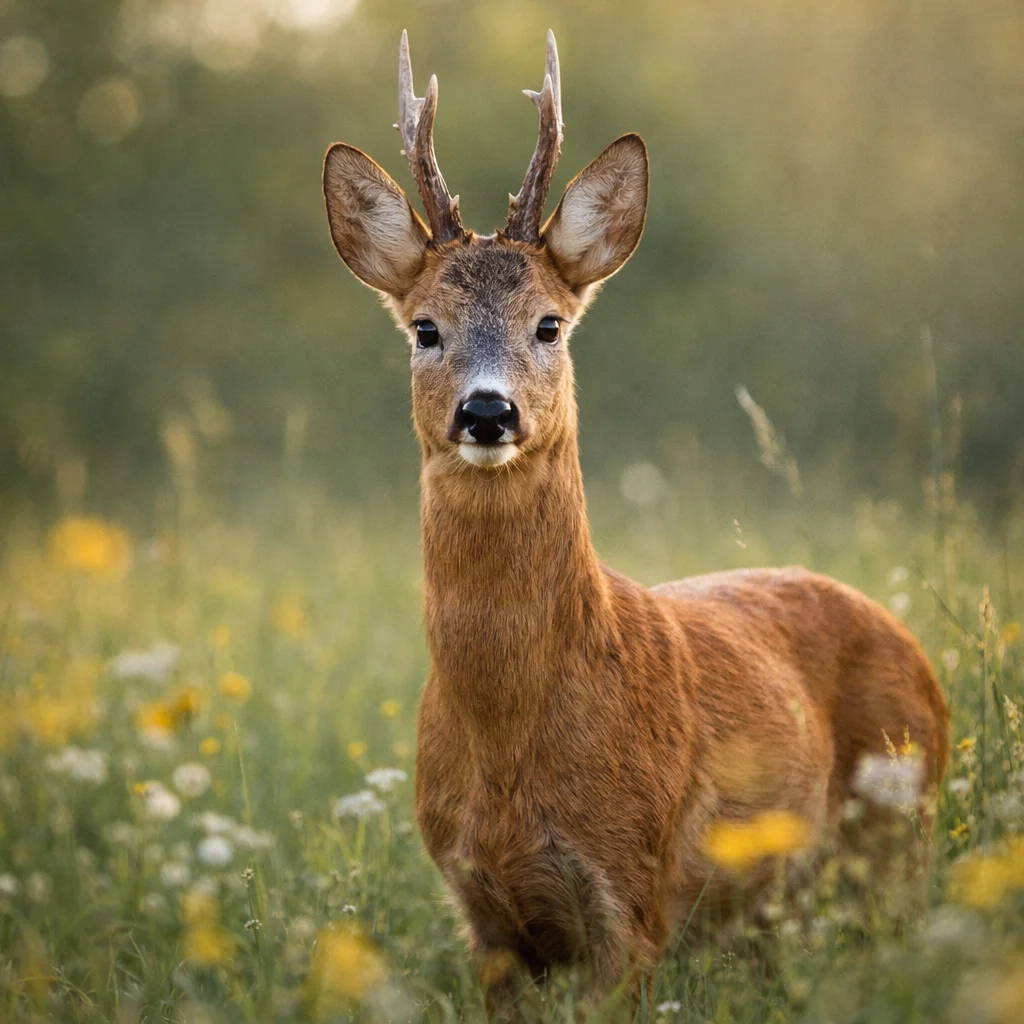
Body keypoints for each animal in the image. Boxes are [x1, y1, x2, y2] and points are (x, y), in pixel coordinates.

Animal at [322, 31, 950, 1018]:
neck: (508, 736)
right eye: (425, 328)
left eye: (549, 324)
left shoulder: (633, 899)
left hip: (900, 831)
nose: (488, 411)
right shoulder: (481, 918)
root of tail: (915, 648)